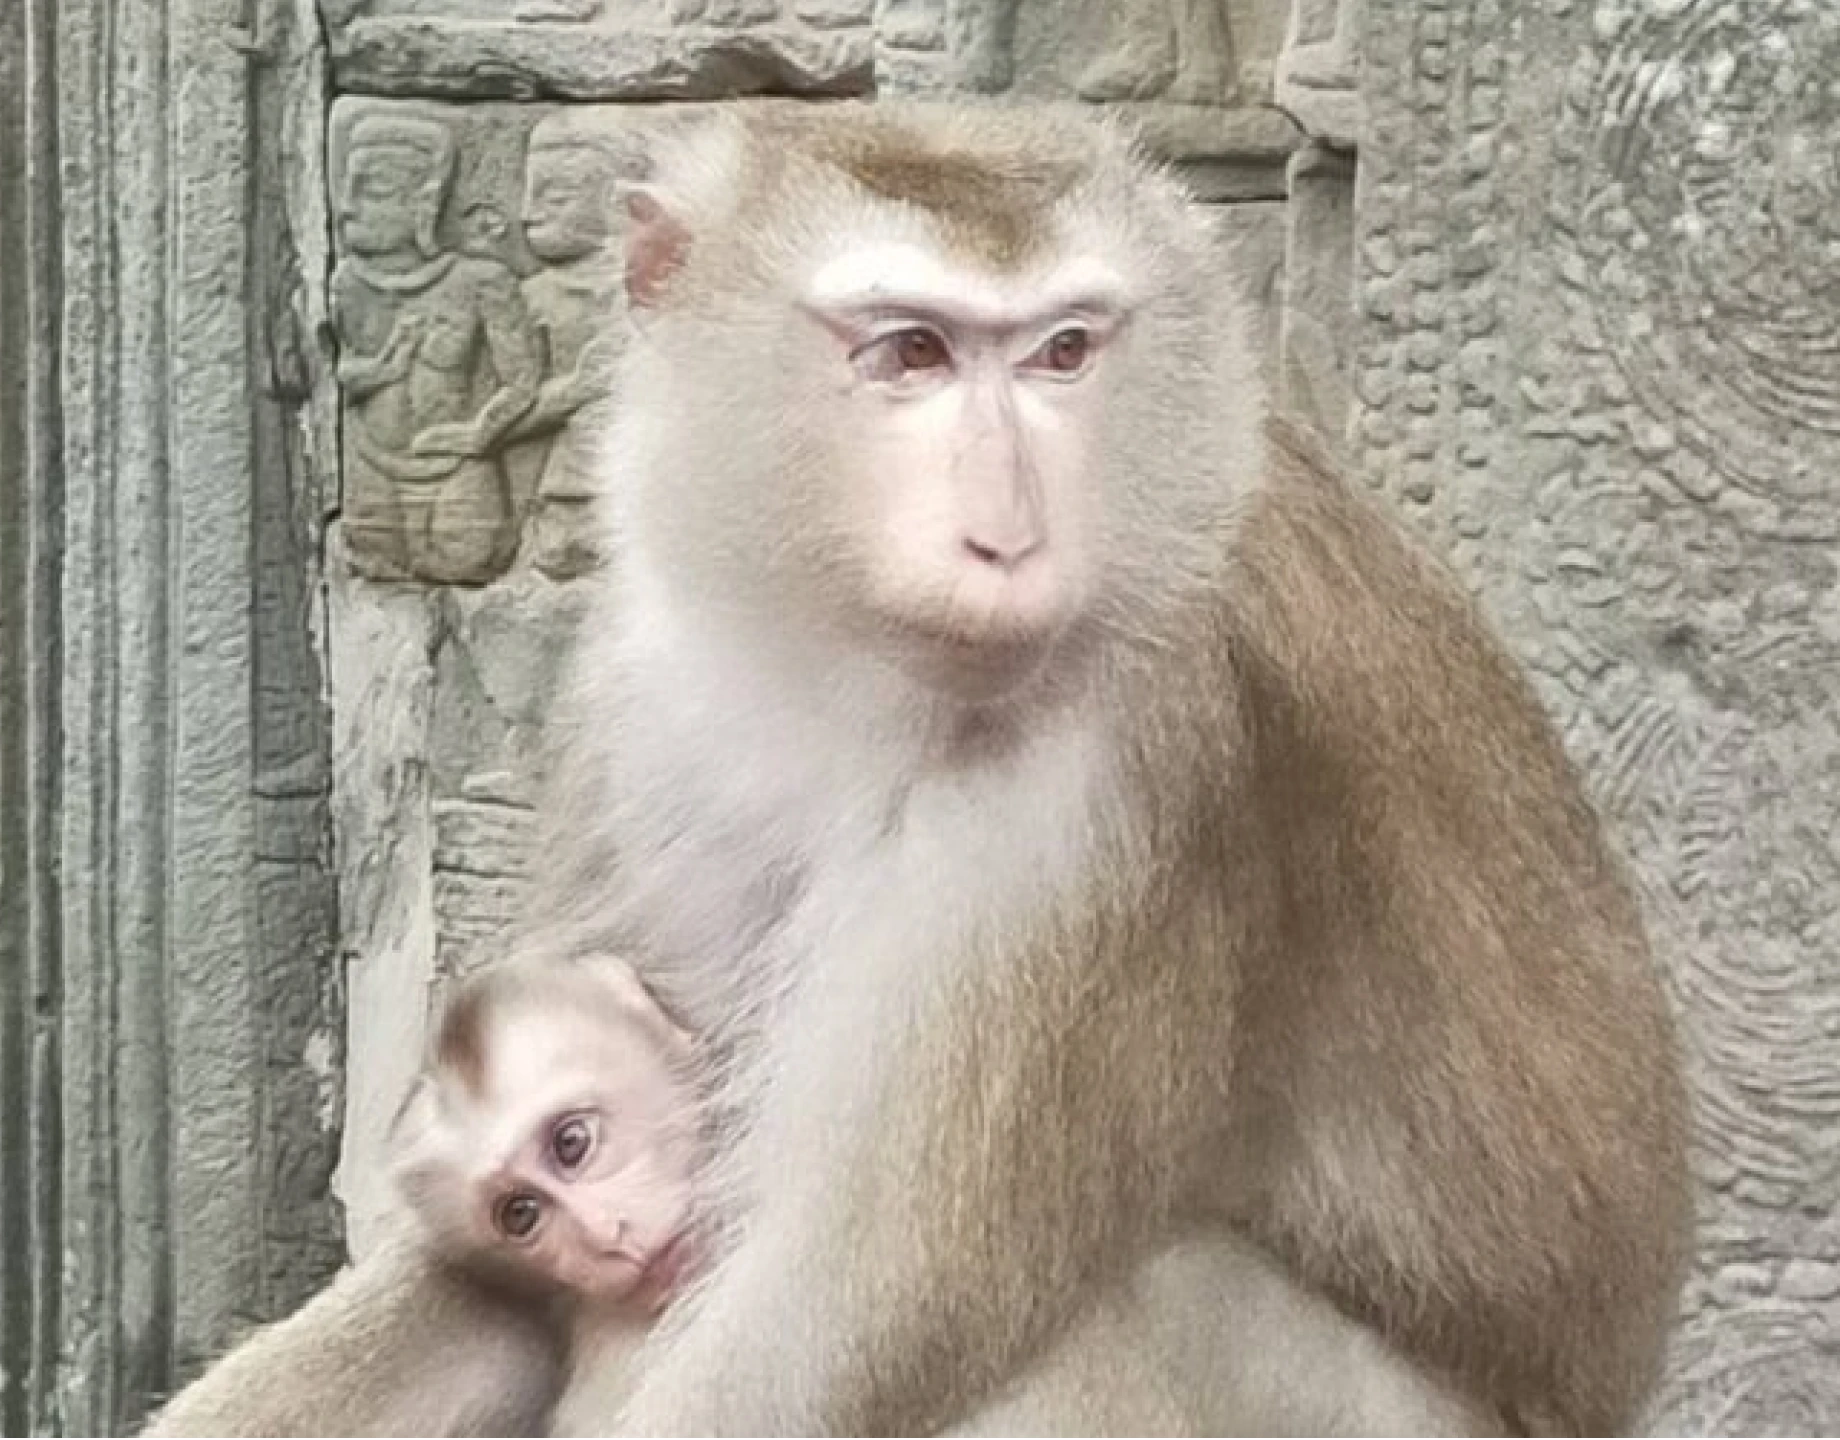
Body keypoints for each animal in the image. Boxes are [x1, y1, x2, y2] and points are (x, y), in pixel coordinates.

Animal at [142, 98, 1690, 1440]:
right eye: (909, 356)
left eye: (1061, 353)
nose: (1007, 536)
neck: (856, 670)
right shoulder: (650, 687)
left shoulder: (1103, 785)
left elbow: (827, 1340)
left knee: (1103, 1303)